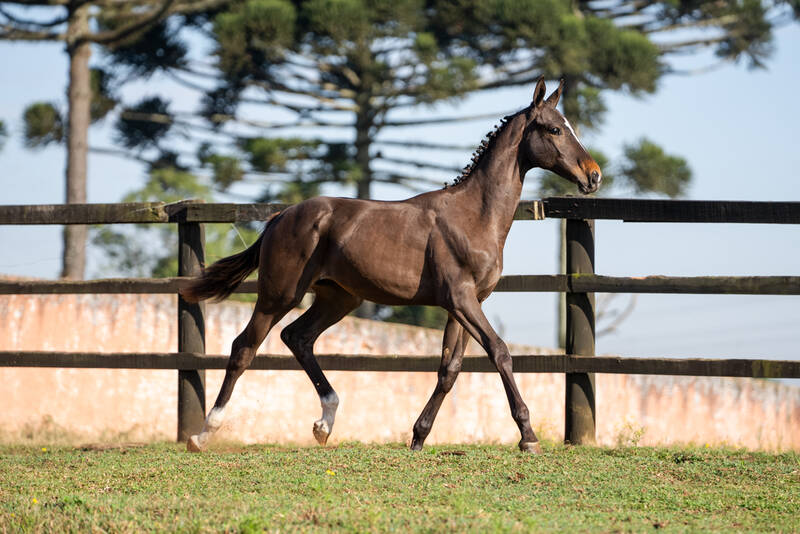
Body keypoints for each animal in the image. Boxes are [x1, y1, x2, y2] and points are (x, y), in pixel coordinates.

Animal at [181, 78, 604, 456]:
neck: (474, 216)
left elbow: (450, 369)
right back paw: (203, 434)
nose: (594, 175)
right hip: (279, 294)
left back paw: (324, 423)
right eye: (554, 129)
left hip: (338, 299)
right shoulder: (461, 298)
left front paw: (418, 437)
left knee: (297, 338)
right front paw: (528, 436)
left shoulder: (465, 304)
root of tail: (280, 216)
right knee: (244, 346)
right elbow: (499, 352)